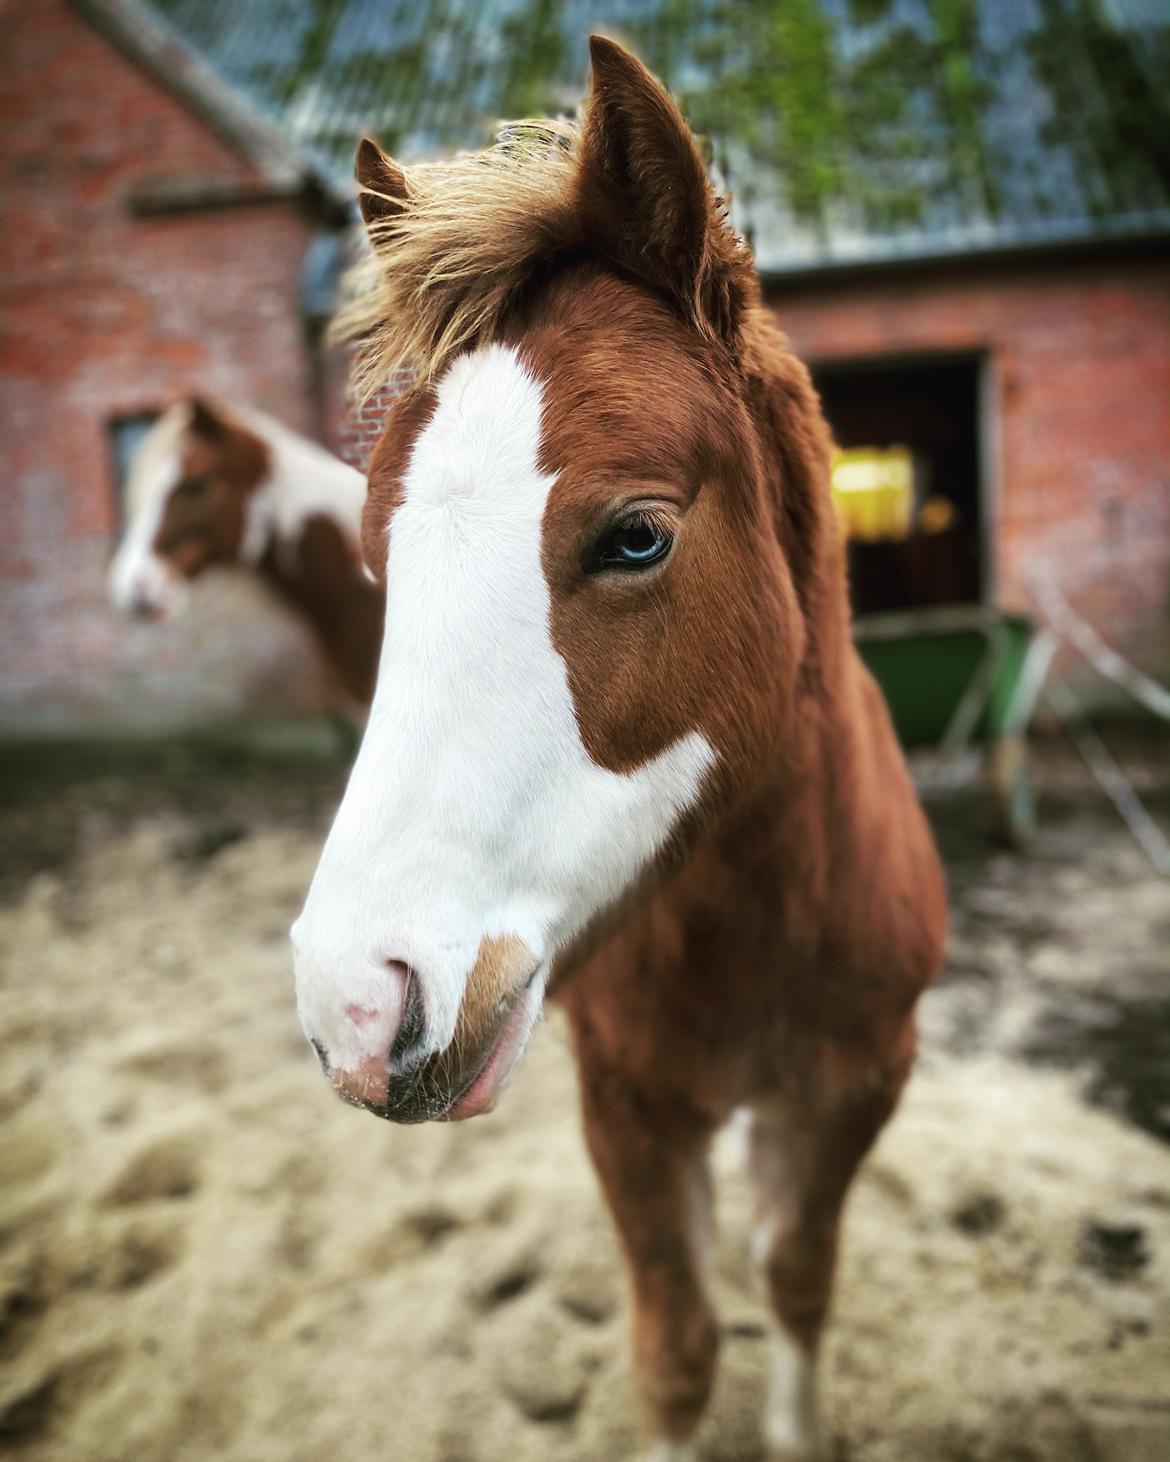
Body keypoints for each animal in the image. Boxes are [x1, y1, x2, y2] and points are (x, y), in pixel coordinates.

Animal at [295, 37, 947, 1462]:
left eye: (636, 536)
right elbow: (676, 1345)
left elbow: (795, 1281)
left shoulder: (856, 1089)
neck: (766, 913)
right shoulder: (630, 1104)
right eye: (375, 559)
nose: (355, 1002)